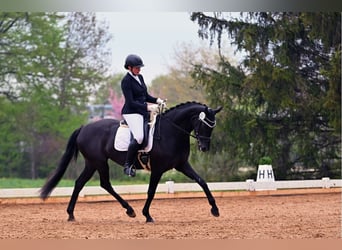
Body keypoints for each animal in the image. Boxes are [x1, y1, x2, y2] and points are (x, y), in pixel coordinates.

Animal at [40, 101, 223, 223]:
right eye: (203, 124)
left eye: (213, 126)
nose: (204, 147)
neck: (171, 132)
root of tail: (84, 128)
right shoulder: (158, 169)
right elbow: (151, 192)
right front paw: (147, 215)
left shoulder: (181, 165)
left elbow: (202, 181)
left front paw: (215, 209)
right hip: (99, 162)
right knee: (105, 184)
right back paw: (130, 210)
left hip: (92, 163)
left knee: (80, 183)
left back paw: (71, 214)